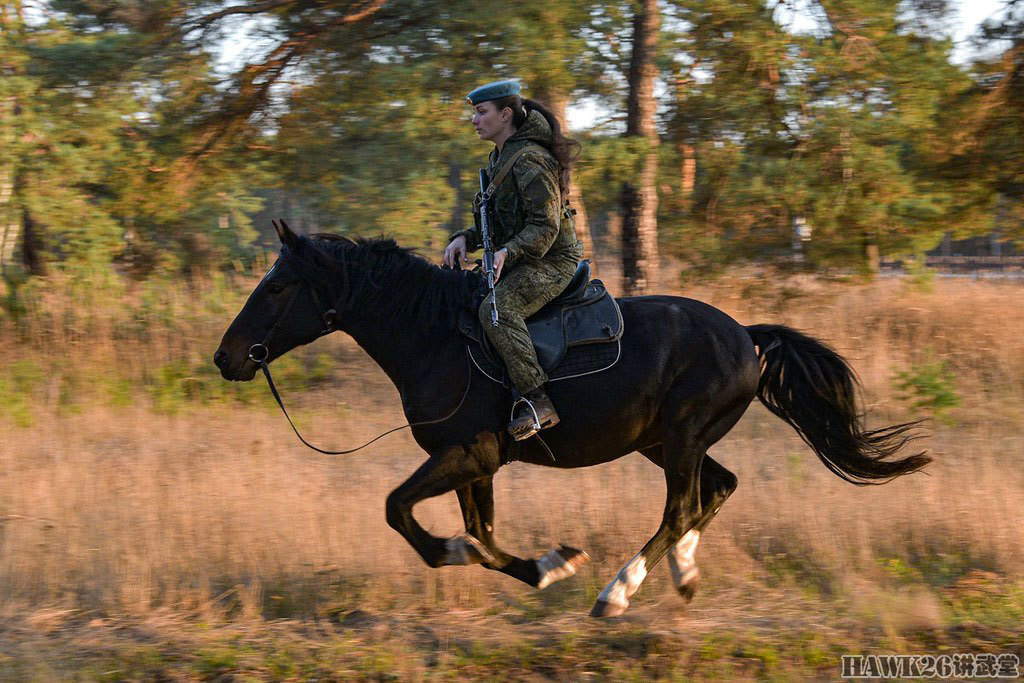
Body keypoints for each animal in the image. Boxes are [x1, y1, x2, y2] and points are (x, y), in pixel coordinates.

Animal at [214, 224, 929, 618]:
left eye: (277, 287)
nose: (227, 357)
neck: (437, 337)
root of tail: (746, 336)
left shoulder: (469, 455)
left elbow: (405, 513)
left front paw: (493, 558)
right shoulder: (476, 465)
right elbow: (483, 535)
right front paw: (549, 564)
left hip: (681, 439)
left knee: (680, 507)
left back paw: (618, 593)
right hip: (664, 441)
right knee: (716, 490)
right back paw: (683, 575)